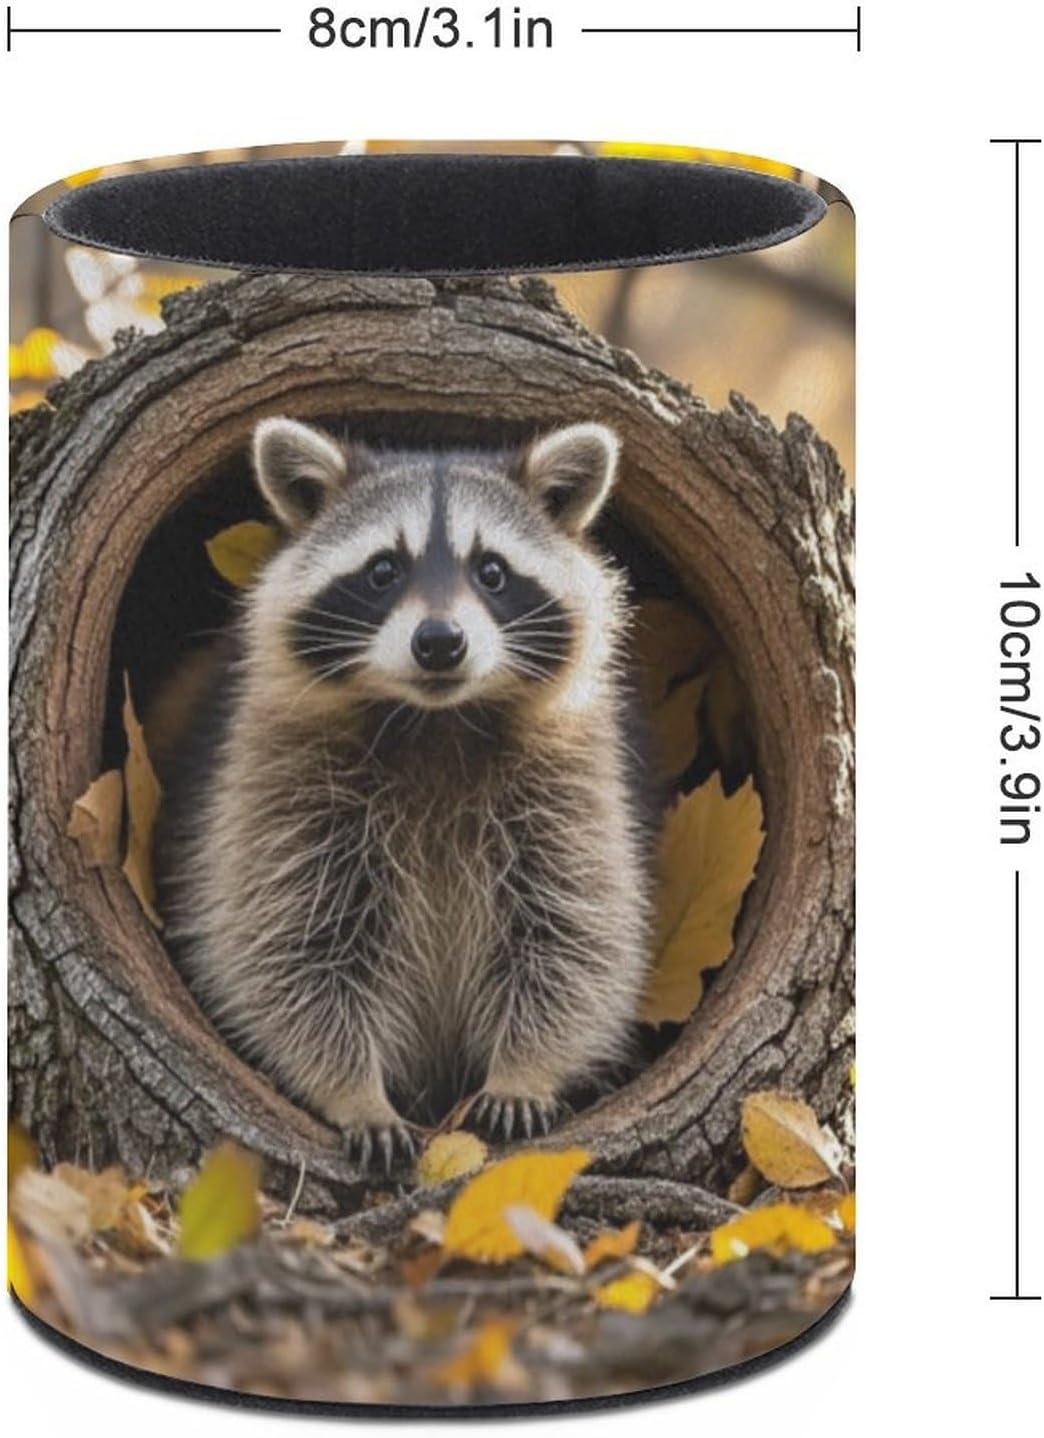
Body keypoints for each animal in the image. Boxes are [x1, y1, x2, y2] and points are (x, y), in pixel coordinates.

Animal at [156, 417, 653, 1168]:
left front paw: (524, 1070)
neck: (434, 723)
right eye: (383, 571)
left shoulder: (570, 782)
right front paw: (355, 1091)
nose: (440, 642)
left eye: (492, 571)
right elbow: (289, 950)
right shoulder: (278, 780)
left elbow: (574, 934)